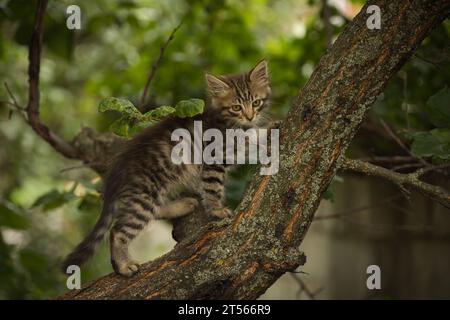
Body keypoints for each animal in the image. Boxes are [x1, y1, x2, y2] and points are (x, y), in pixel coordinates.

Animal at [62, 60, 272, 278]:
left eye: (256, 102)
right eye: (236, 107)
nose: (250, 117)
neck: (230, 121)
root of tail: (117, 167)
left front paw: (266, 129)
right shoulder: (215, 157)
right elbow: (213, 187)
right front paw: (216, 209)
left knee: (155, 210)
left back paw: (183, 205)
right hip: (144, 193)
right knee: (118, 230)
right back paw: (123, 265)